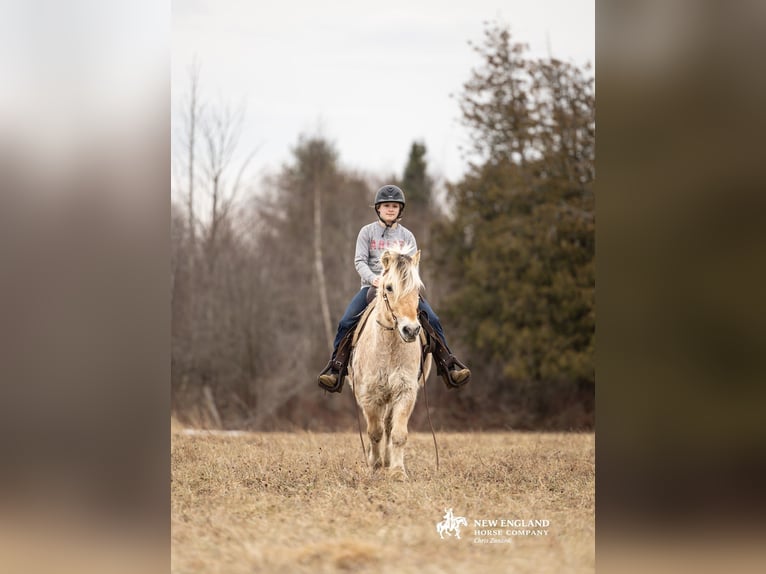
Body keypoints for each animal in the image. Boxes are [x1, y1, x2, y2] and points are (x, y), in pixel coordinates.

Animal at [347, 245, 432, 480]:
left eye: (417, 289)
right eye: (389, 287)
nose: (410, 330)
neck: (388, 348)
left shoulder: (405, 392)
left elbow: (398, 433)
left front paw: (397, 471)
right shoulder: (369, 395)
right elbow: (374, 432)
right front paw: (374, 465)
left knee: (388, 424)